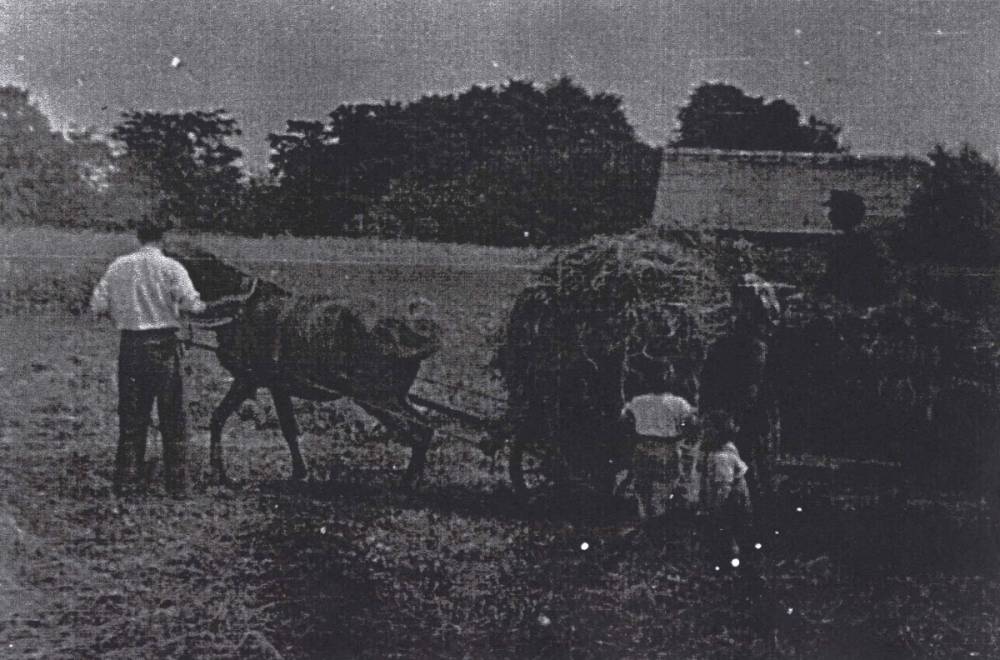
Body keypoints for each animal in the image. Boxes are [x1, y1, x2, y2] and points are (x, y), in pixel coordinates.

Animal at [166, 243, 442, 488]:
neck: (241, 307)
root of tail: (409, 331)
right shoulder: (266, 385)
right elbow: (222, 419)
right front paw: (223, 473)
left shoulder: (254, 381)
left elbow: (283, 428)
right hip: (394, 397)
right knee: (426, 429)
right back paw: (413, 479)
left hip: (377, 398)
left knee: (419, 431)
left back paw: (407, 483)